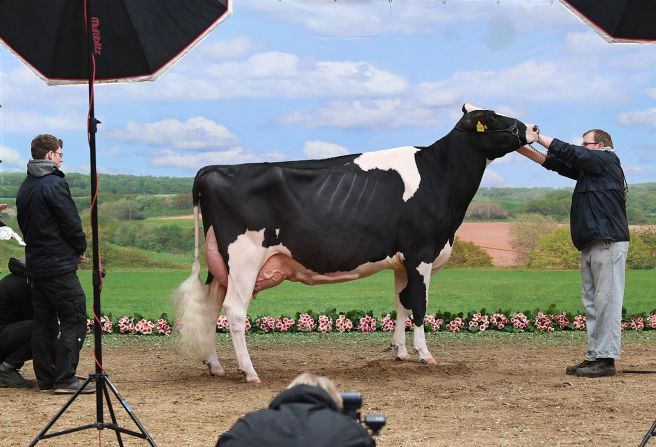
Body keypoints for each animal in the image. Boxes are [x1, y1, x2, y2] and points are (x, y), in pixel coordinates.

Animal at [174, 103, 540, 384]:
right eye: (490, 117)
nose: (534, 126)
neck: (439, 174)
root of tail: (213, 169)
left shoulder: (401, 260)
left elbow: (402, 303)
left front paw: (400, 352)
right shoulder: (421, 252)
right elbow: (420, 306)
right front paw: (425, 355)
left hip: (221, 264)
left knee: (210, 309)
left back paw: (215, 366)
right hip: (244, 259)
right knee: (234, 312)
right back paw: (249, 372)